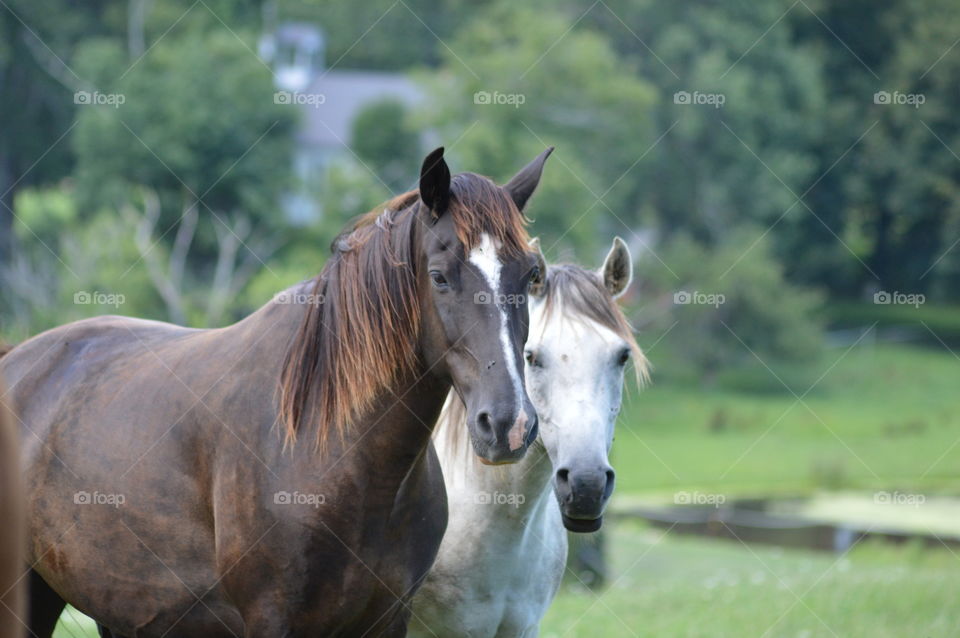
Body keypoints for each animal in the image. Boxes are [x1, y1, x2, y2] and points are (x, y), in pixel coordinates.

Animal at [0, 148, 552, 636]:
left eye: (531, 275)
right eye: (439, 276)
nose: (509, 424)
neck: (334, 453)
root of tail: (18, 359)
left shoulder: (387, 621)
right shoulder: (273, 619)